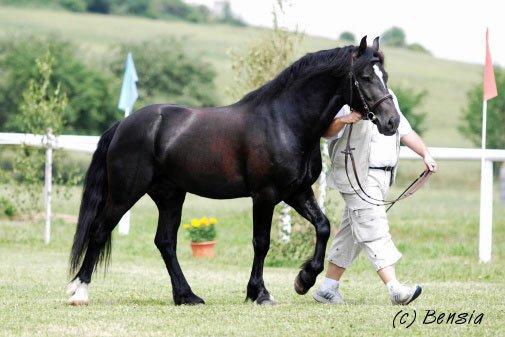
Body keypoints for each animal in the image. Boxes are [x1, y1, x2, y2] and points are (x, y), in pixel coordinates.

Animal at [66, 36, 398, 304]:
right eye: (365, 76)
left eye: (385, 75)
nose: (391, 121)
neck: (284, 121)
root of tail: (124, 124)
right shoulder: (264, 195)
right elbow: (261, 243)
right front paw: (259, 293)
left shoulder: (296, 192)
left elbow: (323, 226)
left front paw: (304, 279)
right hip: (125, 193)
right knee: (99, 231)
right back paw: (79, 292)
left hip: (170, 195)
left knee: (165, 242)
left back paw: (187, 296)